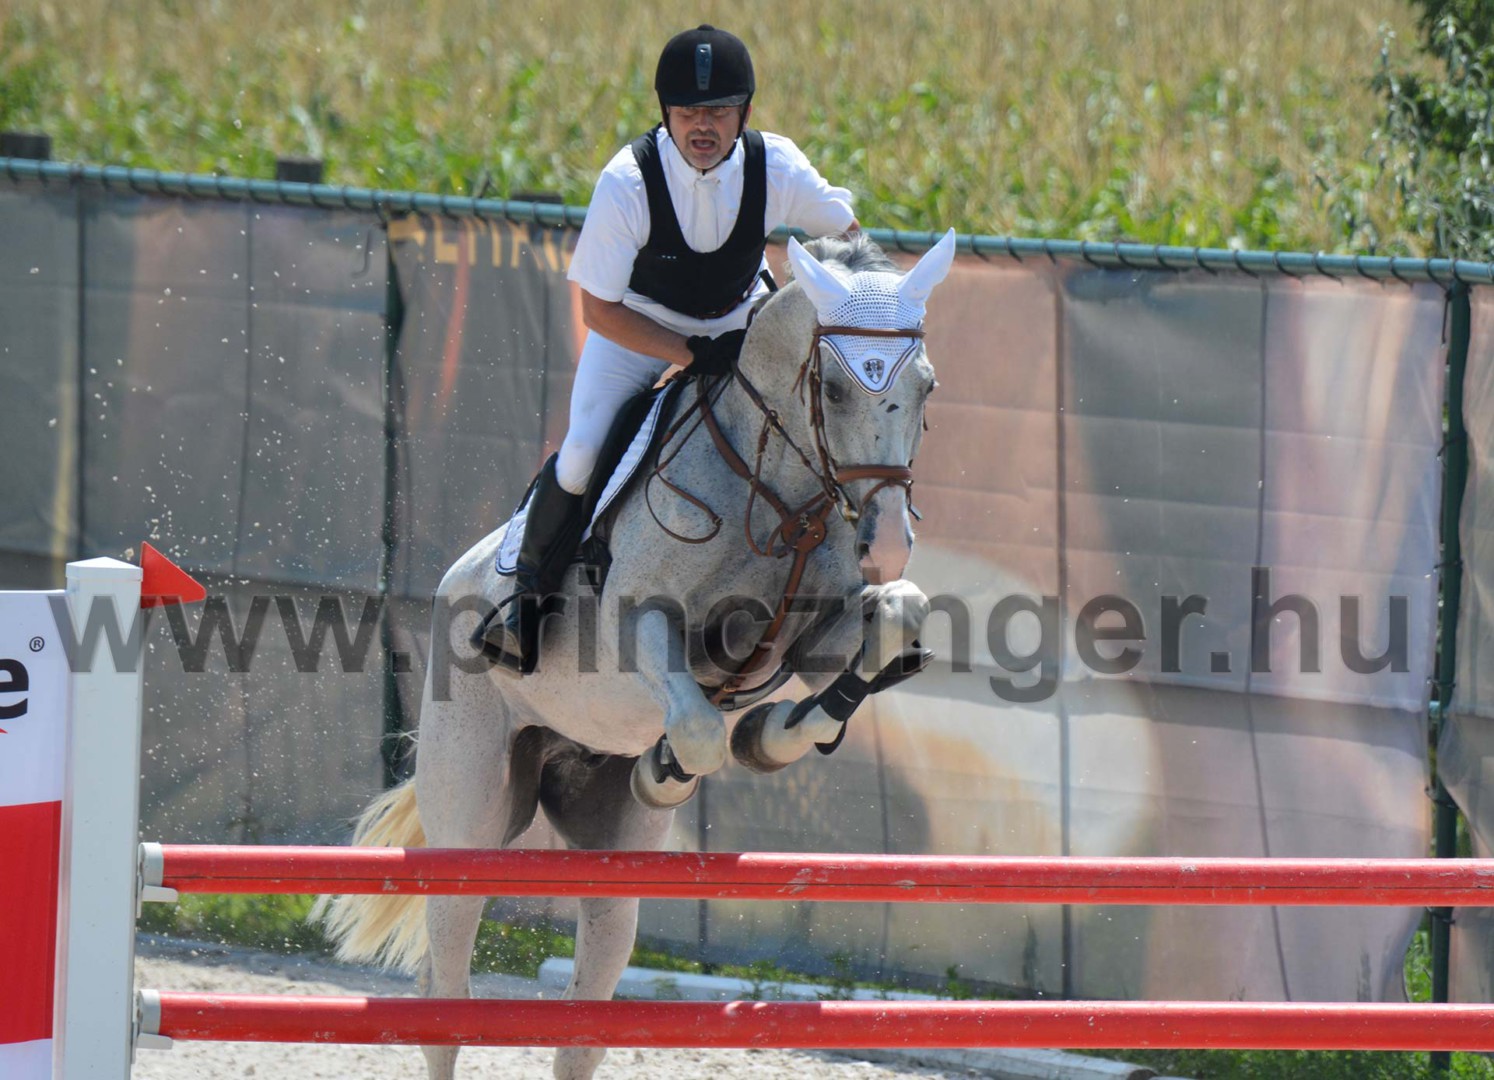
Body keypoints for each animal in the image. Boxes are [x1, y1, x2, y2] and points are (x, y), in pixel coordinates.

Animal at [317, 229, 957, 1080]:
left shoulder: (815, 640)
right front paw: (674, 767)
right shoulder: (638, 629)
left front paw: (771, 736)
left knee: (584, 1014)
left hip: (612, 874)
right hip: (469, 824)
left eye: (926, 385)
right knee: (444, 993)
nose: (885, 542)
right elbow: (700, 729)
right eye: (833, 388)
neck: (778, 491)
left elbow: (890, 622)